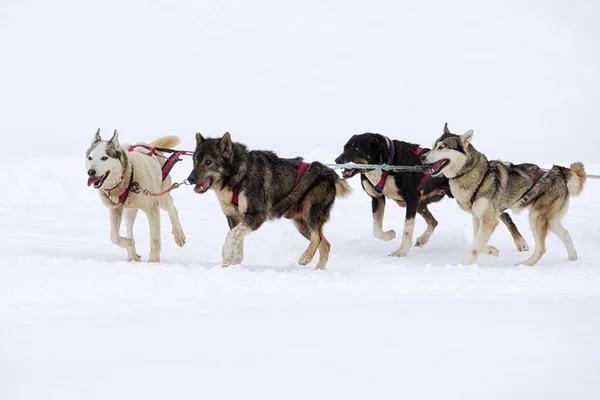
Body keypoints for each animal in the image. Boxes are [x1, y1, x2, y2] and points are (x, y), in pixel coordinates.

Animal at [85, 126, 185, 260]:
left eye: (104, 158)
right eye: (90, 158)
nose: (90, 172)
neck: (126, 179)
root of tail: (149, 146)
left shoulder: (152, 208)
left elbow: (155, 239)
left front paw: (154, 261)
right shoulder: (115, 209)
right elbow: (114, 237)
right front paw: (129, 243)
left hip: (161, 197)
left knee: (172, 210)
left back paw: (179, 235)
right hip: (129, 210)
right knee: (129, 229)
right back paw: (132, 255)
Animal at [188, 131, 352, 268]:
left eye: (208, 162)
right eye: (195, 161)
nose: (190, 179)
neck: (238, 176)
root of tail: (330, 172)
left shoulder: (257, 215)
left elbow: (232, 235)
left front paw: (227, 255)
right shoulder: (234, 217)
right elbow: (237, 238)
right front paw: (234, 261)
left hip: (310, 212)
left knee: (317, 238)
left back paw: (305, 257)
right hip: (301, 224)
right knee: (325, 244)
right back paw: (317, 270)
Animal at [336, 131, 528, 256]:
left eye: (356, 149)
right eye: (345, 147)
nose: (337, 160)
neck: (388, 164)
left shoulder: (412, 198)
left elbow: (407, 229)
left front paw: (401, 250)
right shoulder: (377, 198)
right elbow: (376, 229)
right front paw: (389, 235)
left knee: (504, 216)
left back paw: (520, 243)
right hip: (428, 203)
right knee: (433, 221)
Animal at [420, 122, 584, 266]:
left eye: (442, 147)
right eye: (433, 145)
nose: (422, 157)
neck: (478, 176)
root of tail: (560, 171)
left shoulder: (489, 220)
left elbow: (475, 248)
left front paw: (463, 264)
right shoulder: (478, 218)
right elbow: (477, 242)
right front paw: (492, 251)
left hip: (536, 217)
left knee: (542, 249)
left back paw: (524, 264)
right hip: (549, 219)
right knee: (566, 234)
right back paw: (572, 257)